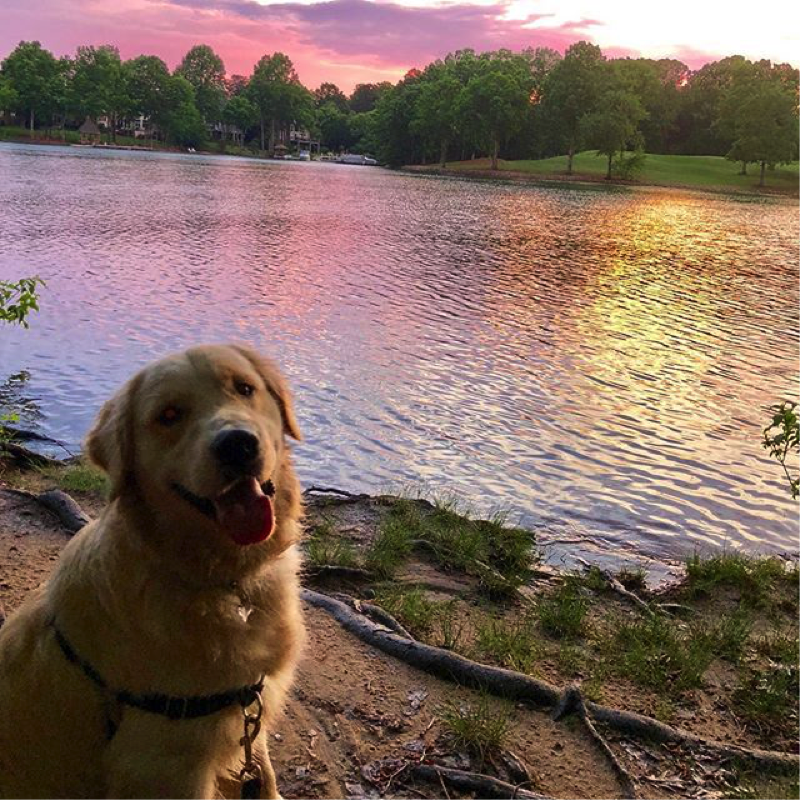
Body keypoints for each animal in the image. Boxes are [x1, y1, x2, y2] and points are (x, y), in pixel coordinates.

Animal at [0, 344, 306, 800]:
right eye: (169, 415)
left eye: (244, 388)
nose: (237, 445)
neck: (224, 583)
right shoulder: (165, 764)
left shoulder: (249, 705)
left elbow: (263, 772)